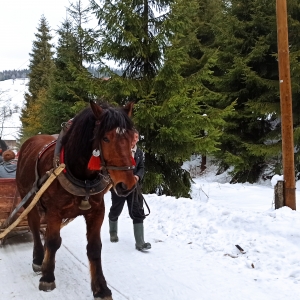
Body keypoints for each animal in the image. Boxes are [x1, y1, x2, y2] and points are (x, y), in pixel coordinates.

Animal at [16, 101, 137, 300]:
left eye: (132, 139)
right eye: (105, 138)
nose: (127, 185)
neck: (82, 176)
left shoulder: (97, 211)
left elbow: (94, 247)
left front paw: (101, 288)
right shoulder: (54, 211)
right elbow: (53, 241)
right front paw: (47, 276)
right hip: (29, 200)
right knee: (34, 227)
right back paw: (39, 259)